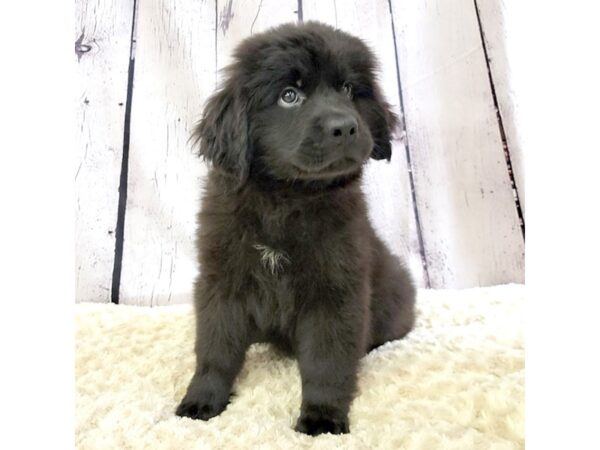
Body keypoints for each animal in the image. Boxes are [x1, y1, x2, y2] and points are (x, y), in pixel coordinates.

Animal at [176, 21, 414, 436]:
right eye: (289, 95)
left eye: (348, 89)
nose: (345, 127)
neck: (286, 198)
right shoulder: (221, 281)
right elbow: (215, 348)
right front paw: (202, 400)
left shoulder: (336, 290)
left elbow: (326, 361)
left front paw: (322, 418)